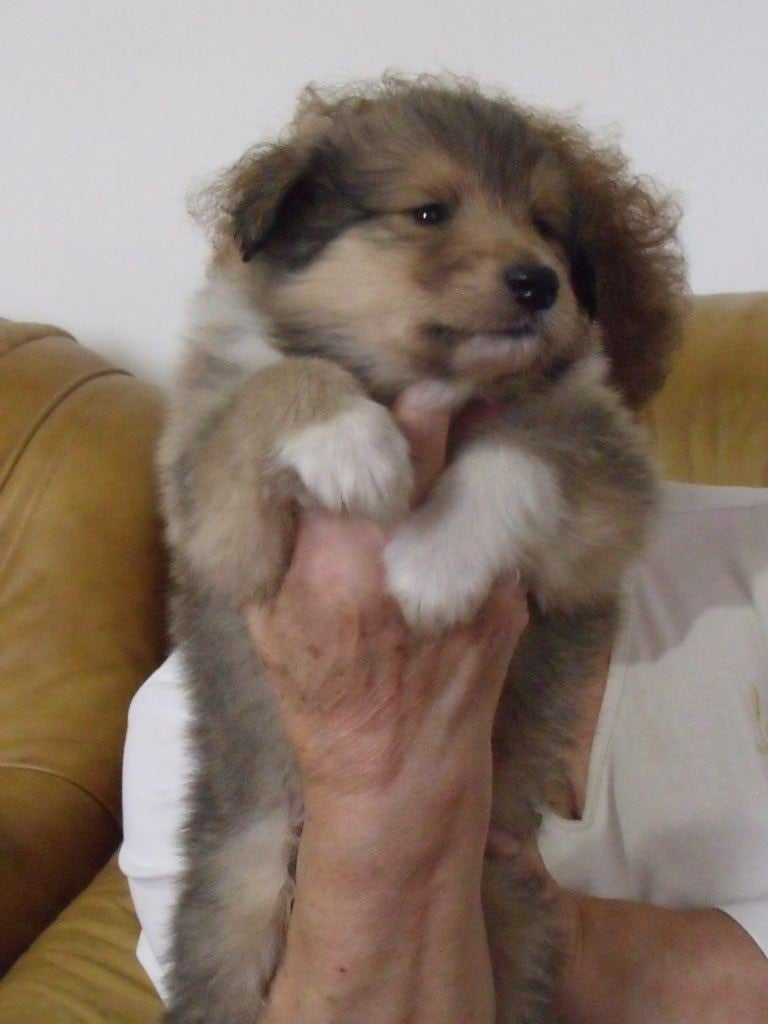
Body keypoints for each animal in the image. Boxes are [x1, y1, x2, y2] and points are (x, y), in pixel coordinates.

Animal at [158, 76, 685, 1023]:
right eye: (430, 211)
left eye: (546, 225)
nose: (539, 282)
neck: (411, 381)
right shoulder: (217, 522)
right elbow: (274, 381)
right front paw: (349, 442)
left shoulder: (604, 504)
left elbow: (522, 445)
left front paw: (434, 565)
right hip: (237, 893)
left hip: (509, 910)